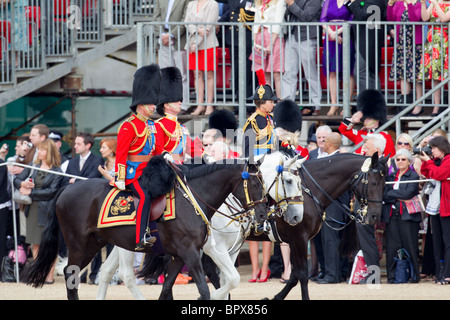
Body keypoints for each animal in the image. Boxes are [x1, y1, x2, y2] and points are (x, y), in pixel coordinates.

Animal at [22, 158, 268, 300]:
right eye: (255, 183)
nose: (263, 215)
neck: (193, 200)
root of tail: (67, 188)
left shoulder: (181, 255)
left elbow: (166, 288)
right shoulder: (192, 252)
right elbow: (206, 289)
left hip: (95, 244)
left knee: (89, 273)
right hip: (79, 245)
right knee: (76, 275)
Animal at [96, 151, 304, 298]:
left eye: (299, 181)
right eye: (288, 181)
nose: (297, 216)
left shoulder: (231, 250)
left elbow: (228, 280)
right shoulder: (212, 249)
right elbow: (227, 279)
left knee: (106, 271)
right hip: (129, 245)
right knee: (126, 275)